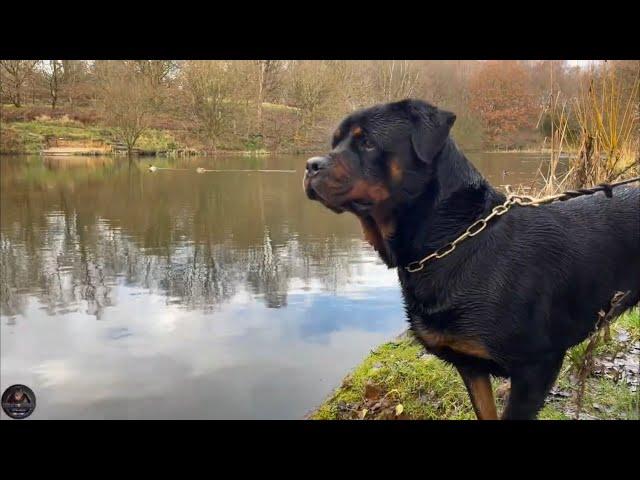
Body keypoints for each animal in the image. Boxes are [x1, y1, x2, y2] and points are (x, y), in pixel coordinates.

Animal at [304, 99, 640, 418]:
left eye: (367, 143)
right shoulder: (471, 367)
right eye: (335, 142)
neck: (451, 240)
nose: (310, 165)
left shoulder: (537, 367)